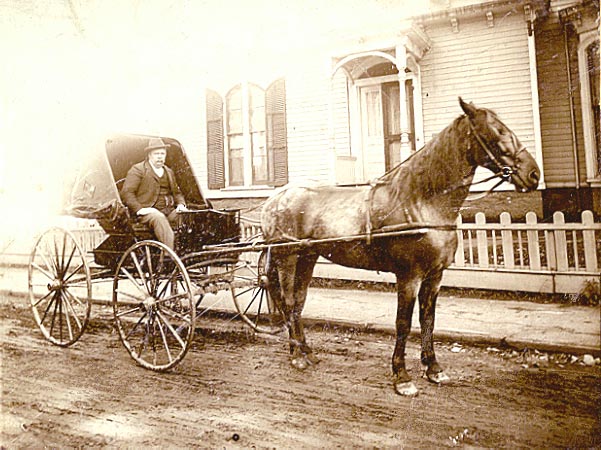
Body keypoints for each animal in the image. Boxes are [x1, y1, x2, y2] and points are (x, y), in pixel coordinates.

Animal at [260, 96, 540, 396]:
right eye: (497, 131)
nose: (534, 174)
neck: (421, 201)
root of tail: (274, 198)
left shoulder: (434, 276)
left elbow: (428, 319)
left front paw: (433, 368)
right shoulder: (409, 276)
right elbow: (403, 323)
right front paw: (402, 376)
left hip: (308, 257)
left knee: (299, 302)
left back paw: (307, 351)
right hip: (287, 258)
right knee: (289, 301)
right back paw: (296, 356)